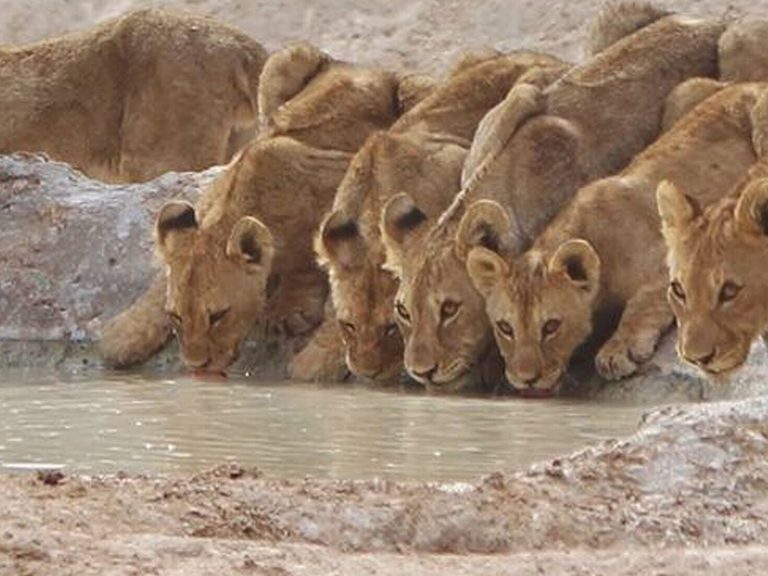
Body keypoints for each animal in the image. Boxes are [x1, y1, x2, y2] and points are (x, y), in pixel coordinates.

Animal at [100, 44, 422, 371]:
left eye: (218, 316)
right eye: (176, 316)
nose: (196, 365)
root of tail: (369, 67)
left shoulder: (343, 177)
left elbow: (308, 259)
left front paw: (290, 309)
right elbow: (159, 283)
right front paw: (124, 335)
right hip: (282, 64)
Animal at [465, 83, 768, 394]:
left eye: (551, 326)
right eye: (505, 327)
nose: (526, 379)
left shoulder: (671, 260)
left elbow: (642, 303)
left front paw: (618, 350)